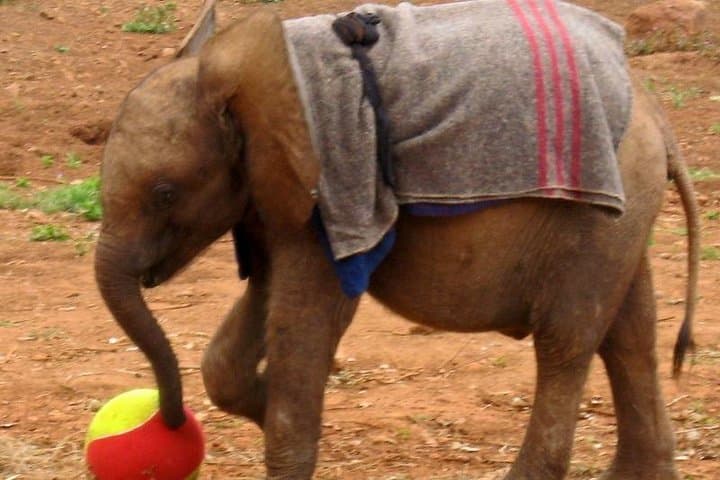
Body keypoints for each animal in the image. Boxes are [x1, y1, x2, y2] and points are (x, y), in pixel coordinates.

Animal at [94, 1, 700, 479]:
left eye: (165, 193)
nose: (166, 422)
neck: (249, 64)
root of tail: (656, 114)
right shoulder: (276, 193)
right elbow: (250, 320)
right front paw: (263, 406)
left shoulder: (333, 186)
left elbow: (305, 323)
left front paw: (276, 420)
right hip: (624, 213)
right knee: (629, 333)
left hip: (600, 209)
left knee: (566, 340)